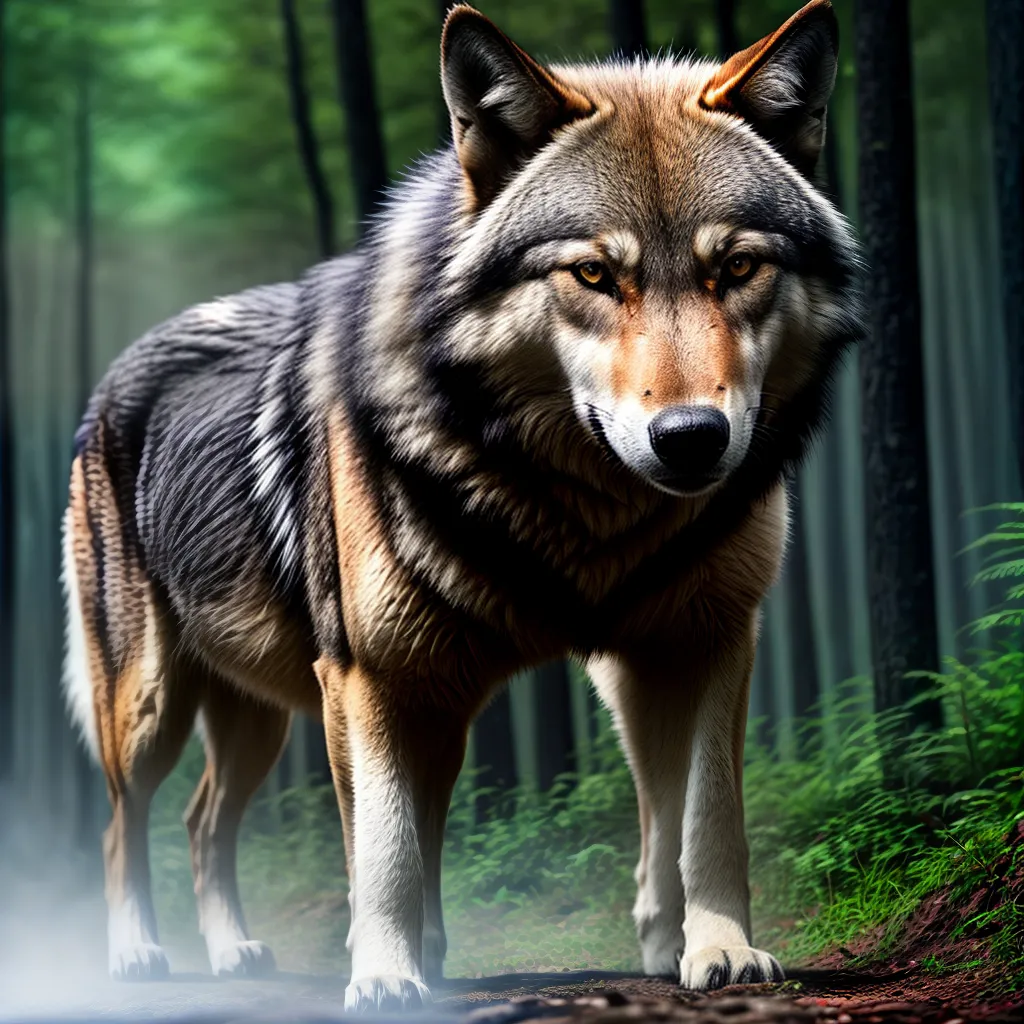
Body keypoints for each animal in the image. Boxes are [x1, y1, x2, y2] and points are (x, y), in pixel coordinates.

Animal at [62, 0, 861, 1010]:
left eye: (739, 267)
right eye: (592, 276)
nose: (691, 437)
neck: (584, 522)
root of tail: (115, 371)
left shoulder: (696, 642)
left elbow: (703, 815)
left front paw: (712, 950)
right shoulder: (371, 678)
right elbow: (387, 849)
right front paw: (386, 978)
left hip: (288, 719)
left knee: (207, 821)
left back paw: (242, 951)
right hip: (157, 708)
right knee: (123, 824)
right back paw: (139, 956)